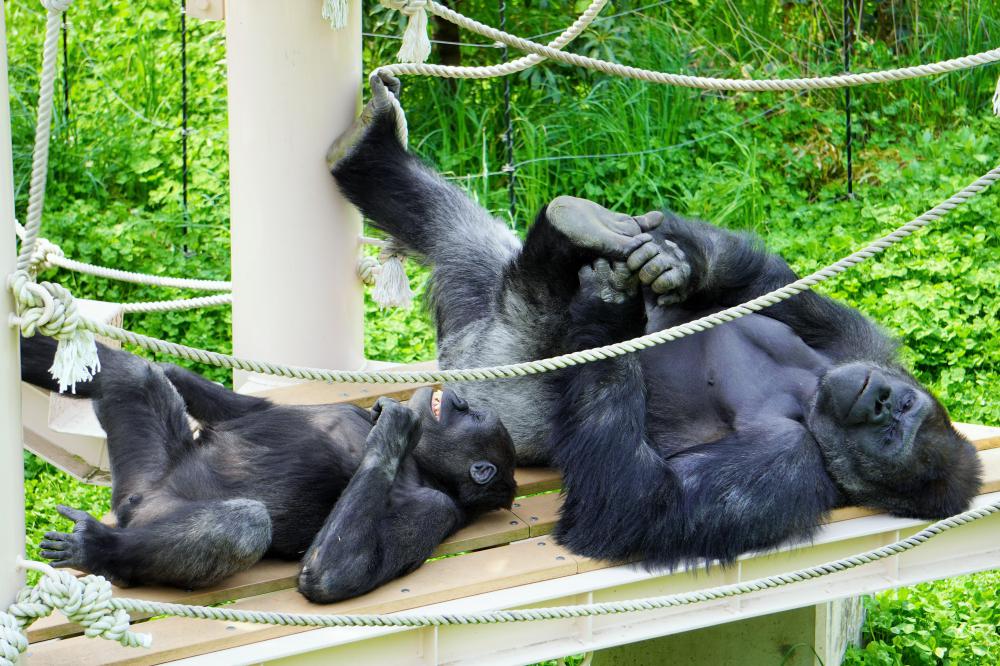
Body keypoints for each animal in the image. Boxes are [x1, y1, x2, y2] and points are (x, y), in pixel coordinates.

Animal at [20, 334, 520, 600]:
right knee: (132, 375)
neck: (423, 464)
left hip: (148, 514)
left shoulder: (436, 508)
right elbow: (252, 409)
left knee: (244, 525)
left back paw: (97, 549)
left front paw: (396, 427)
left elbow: (333, 574)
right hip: (144, 469)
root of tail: (131, 507)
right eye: (470, 411)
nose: (459, 400)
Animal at [326, 74, 976, 564]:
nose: (880, 402)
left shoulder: (791, 470)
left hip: (490, 363)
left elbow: (633, 505)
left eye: (891, 436)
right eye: (902, 404)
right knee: (458, 230)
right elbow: (765, 283)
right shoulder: (858, 343)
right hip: (479, 299)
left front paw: (612, 313)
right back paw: (373, 147)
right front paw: (677, 264)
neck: (813, 391)